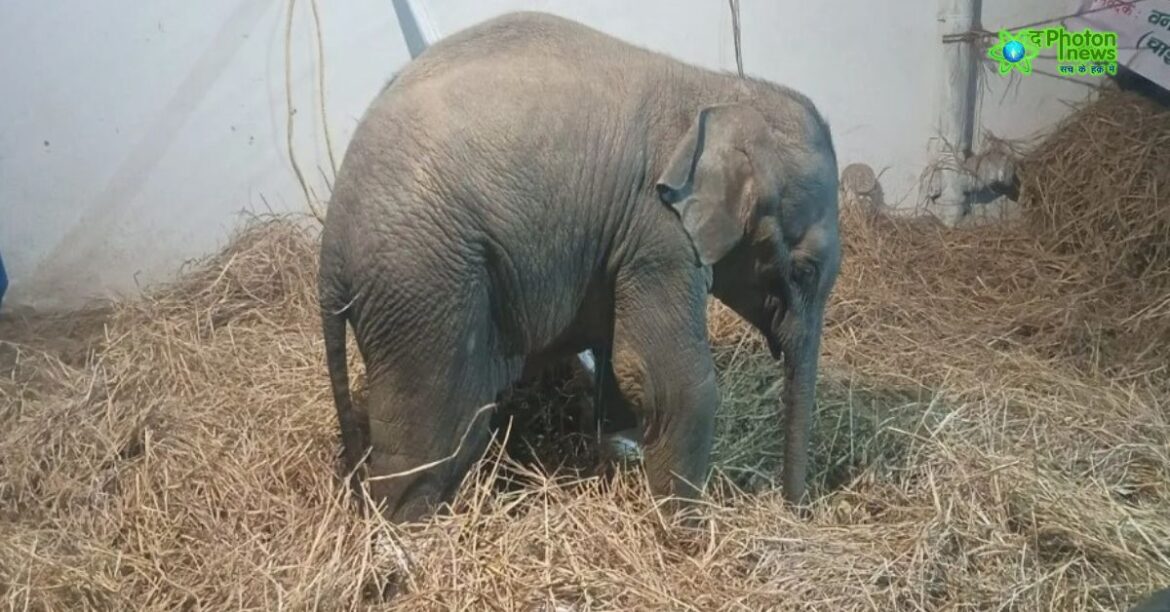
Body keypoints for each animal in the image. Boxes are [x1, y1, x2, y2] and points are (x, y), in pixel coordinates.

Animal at [318, 11, 841, 523]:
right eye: (805, 270)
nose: (796, 512)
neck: (720, 91)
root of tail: (330, 252)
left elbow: (622, 359)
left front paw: (619, 453)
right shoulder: (658, 233)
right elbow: (670, 382)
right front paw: (685, 530)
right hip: (424, 289)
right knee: (437, 436)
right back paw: (407, 531)